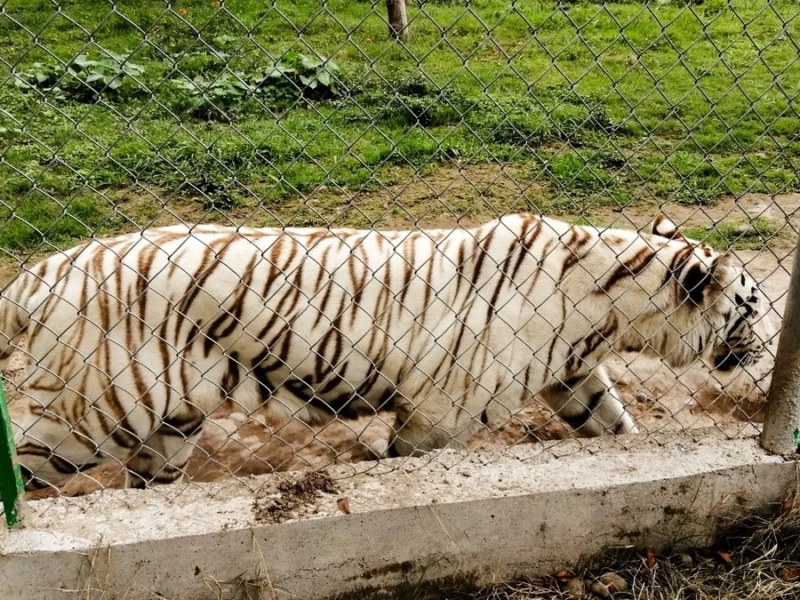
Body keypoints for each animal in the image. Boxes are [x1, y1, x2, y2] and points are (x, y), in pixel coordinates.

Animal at [0, 213, 774, 490]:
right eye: (752, 305)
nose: (767, 349)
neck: (610, 307)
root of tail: (38, 273)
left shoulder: (575, 375)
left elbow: (617, 426)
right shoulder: (440, 413)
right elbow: (407, 461)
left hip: (168, 426)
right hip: (85, 418)